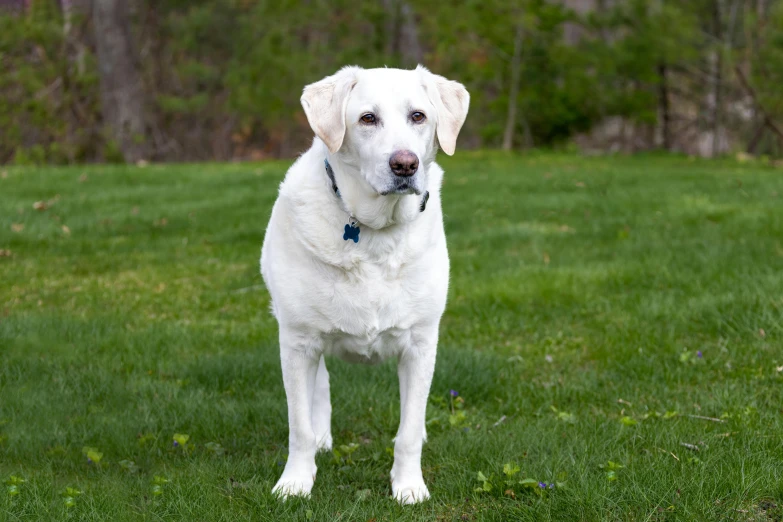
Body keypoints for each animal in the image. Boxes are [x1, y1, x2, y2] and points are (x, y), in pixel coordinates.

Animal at [264, 63, 468, 502]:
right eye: (367, 119)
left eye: (418, 116)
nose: (405, 164)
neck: (376, 231)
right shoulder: (297, 341)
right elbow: (298, 426)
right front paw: (295, 482)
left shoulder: (421, 345)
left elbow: (407, 431)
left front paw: (409, 486)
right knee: (320, 390)